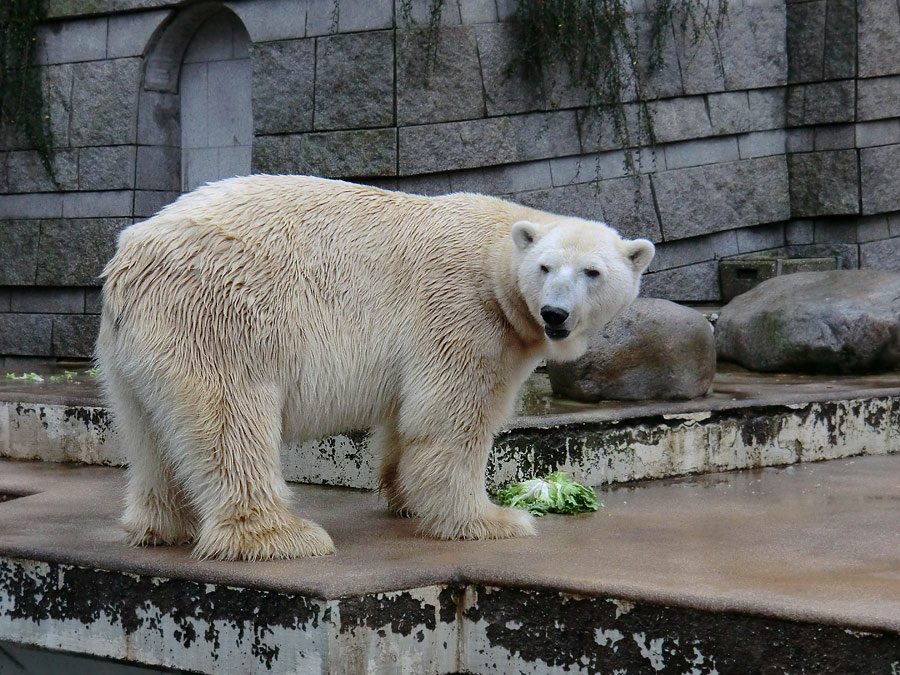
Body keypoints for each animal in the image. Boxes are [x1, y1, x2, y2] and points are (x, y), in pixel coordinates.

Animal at [96, 174, 652, 560]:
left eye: (592, 272)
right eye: (544, 267)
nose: (555, 314)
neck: (494, 257)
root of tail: (130, 259)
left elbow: (404, 418)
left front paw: (403, 497)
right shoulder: (461, 312)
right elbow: (451, 418)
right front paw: (491, 520)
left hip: (129, 350)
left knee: (149, 430)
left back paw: (162, 526)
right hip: (219, 317)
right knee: (230, 419)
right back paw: (283, 537)